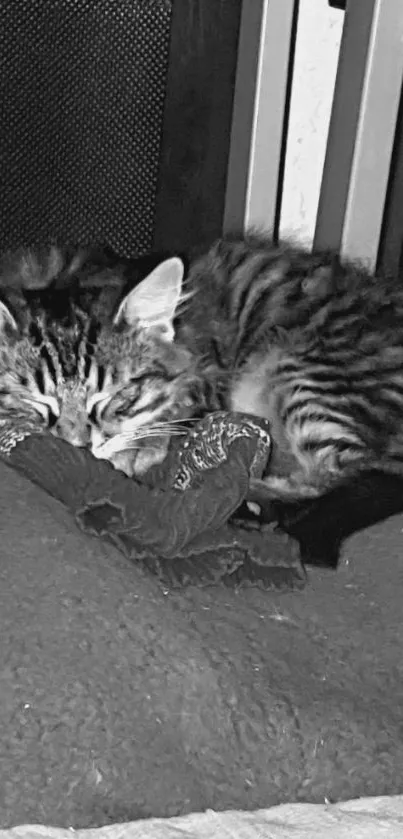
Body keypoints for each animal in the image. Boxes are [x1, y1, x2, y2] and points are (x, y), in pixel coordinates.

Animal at [0, 233, 403, 502]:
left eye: (118, 396)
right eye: (37, 402)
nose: (79, 446)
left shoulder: (207, 379)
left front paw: (135, 457)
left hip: (305, 374)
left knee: (333, 477)